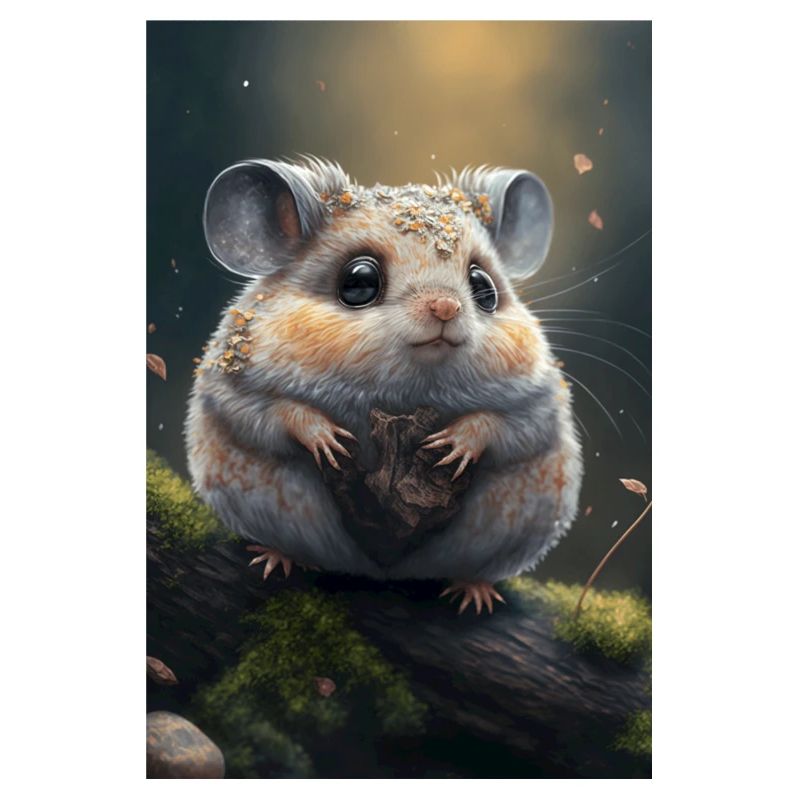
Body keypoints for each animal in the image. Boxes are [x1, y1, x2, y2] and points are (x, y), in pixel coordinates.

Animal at [185, 156, 583, 614]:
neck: (405, 391)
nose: (446, 307)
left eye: (484, 287)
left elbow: (500, 425)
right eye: (359, 282)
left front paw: (450, 447)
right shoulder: (236, 391)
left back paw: (475, 595)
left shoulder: (537, 406)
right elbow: (280, 412)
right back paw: (275, 558)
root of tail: (383, 572)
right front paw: (330, 443)